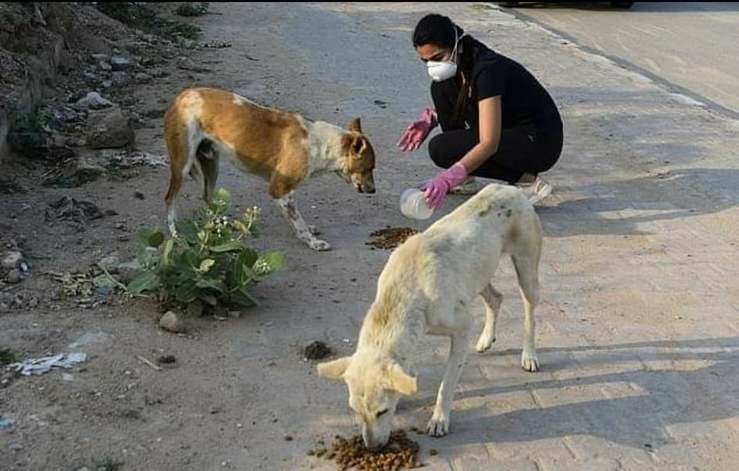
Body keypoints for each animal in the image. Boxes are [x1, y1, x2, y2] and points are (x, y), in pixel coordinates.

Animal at [165, 88, 378, 251]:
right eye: (369, 168)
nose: (373, 190)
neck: (322, 144)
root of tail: (182, 95)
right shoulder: (280, 190)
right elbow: (299, 223)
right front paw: (313, 242)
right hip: (183, 164)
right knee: (170, 199)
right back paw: (175, 235)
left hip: (211, 163)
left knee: (207, 197)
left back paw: (223, 223)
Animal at [318, 183, 544, 448]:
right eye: (354, 410)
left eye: (382, 412)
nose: (372, 449)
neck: (404, 292)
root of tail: (513, 189)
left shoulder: (462, 328)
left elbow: (446, 385)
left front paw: (439, 419)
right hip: (477, 278)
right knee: (496, 298)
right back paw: (486, 339)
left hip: (526, 271)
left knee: (530, 316)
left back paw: (529, 355)